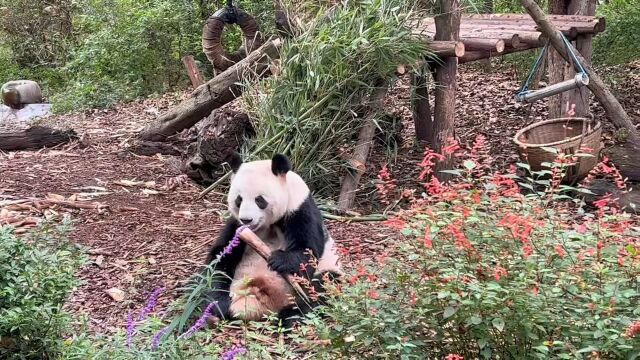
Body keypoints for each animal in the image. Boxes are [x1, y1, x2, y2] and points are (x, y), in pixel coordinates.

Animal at [205, 152, 342, 326]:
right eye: (239, 199)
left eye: (259, 200)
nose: (246, 220)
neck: (267, 225)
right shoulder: (236, 226)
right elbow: (221, 257)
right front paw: (218, 302)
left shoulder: (299, 209)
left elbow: (307, 253)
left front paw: (279, 260)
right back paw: (218, 307)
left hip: (325, 271)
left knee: (323, 286)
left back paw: (290, 316)